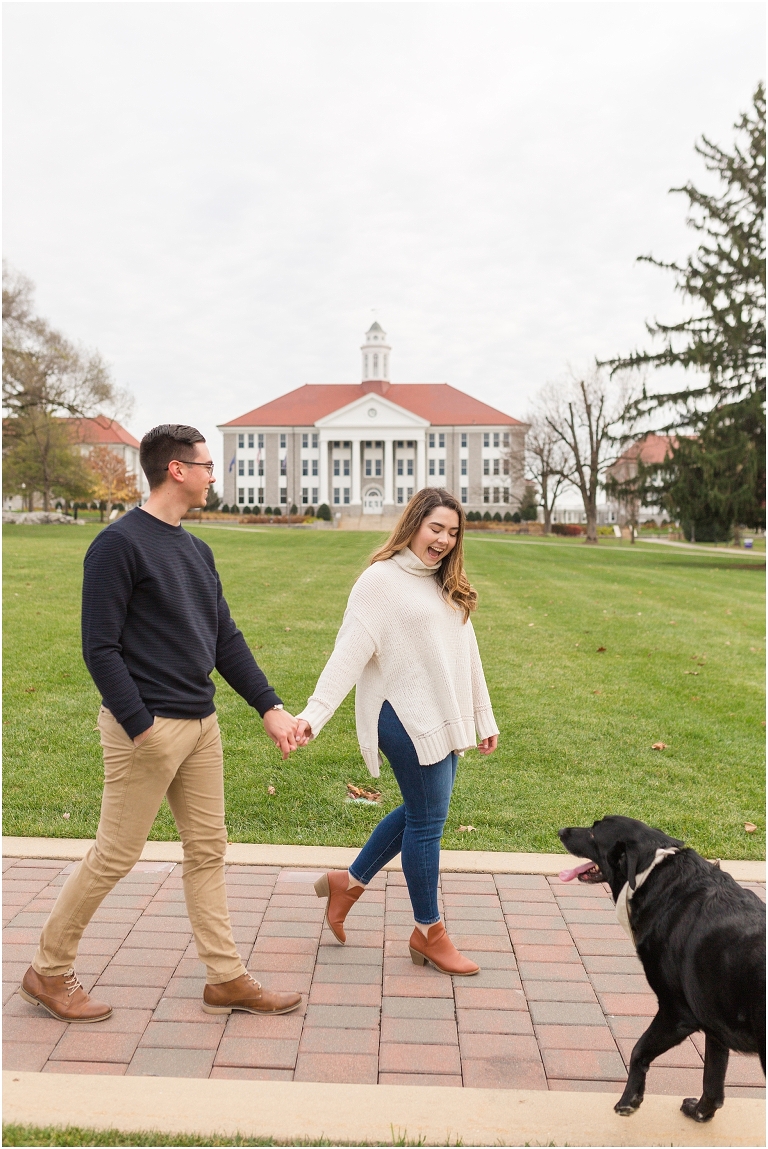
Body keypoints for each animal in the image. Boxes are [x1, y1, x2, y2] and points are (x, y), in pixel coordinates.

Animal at [558, 818, 763, 1121]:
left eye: (594, 832)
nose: (561, 831)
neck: (651, 873)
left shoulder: (676, 1013)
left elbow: (638, 1051)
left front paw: (629, 1101)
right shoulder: (714, 1021)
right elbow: (712, 1079)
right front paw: (700, 1113)